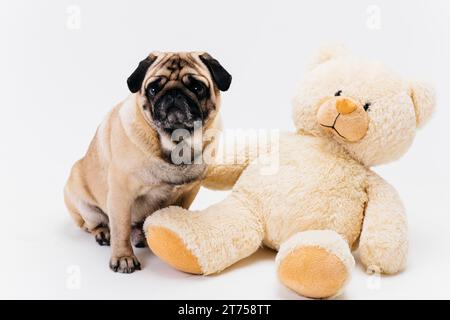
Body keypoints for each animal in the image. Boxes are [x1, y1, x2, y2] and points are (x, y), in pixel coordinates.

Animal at [64, 52, 232, 272]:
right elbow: (120, 229)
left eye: (197, 87)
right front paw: (123, 257)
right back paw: (103, 233)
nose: (174, 94)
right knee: (93, 224)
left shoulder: (189, 191)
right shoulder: (121, 194)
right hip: (83, 203)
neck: (176, 145)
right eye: (153, 89)